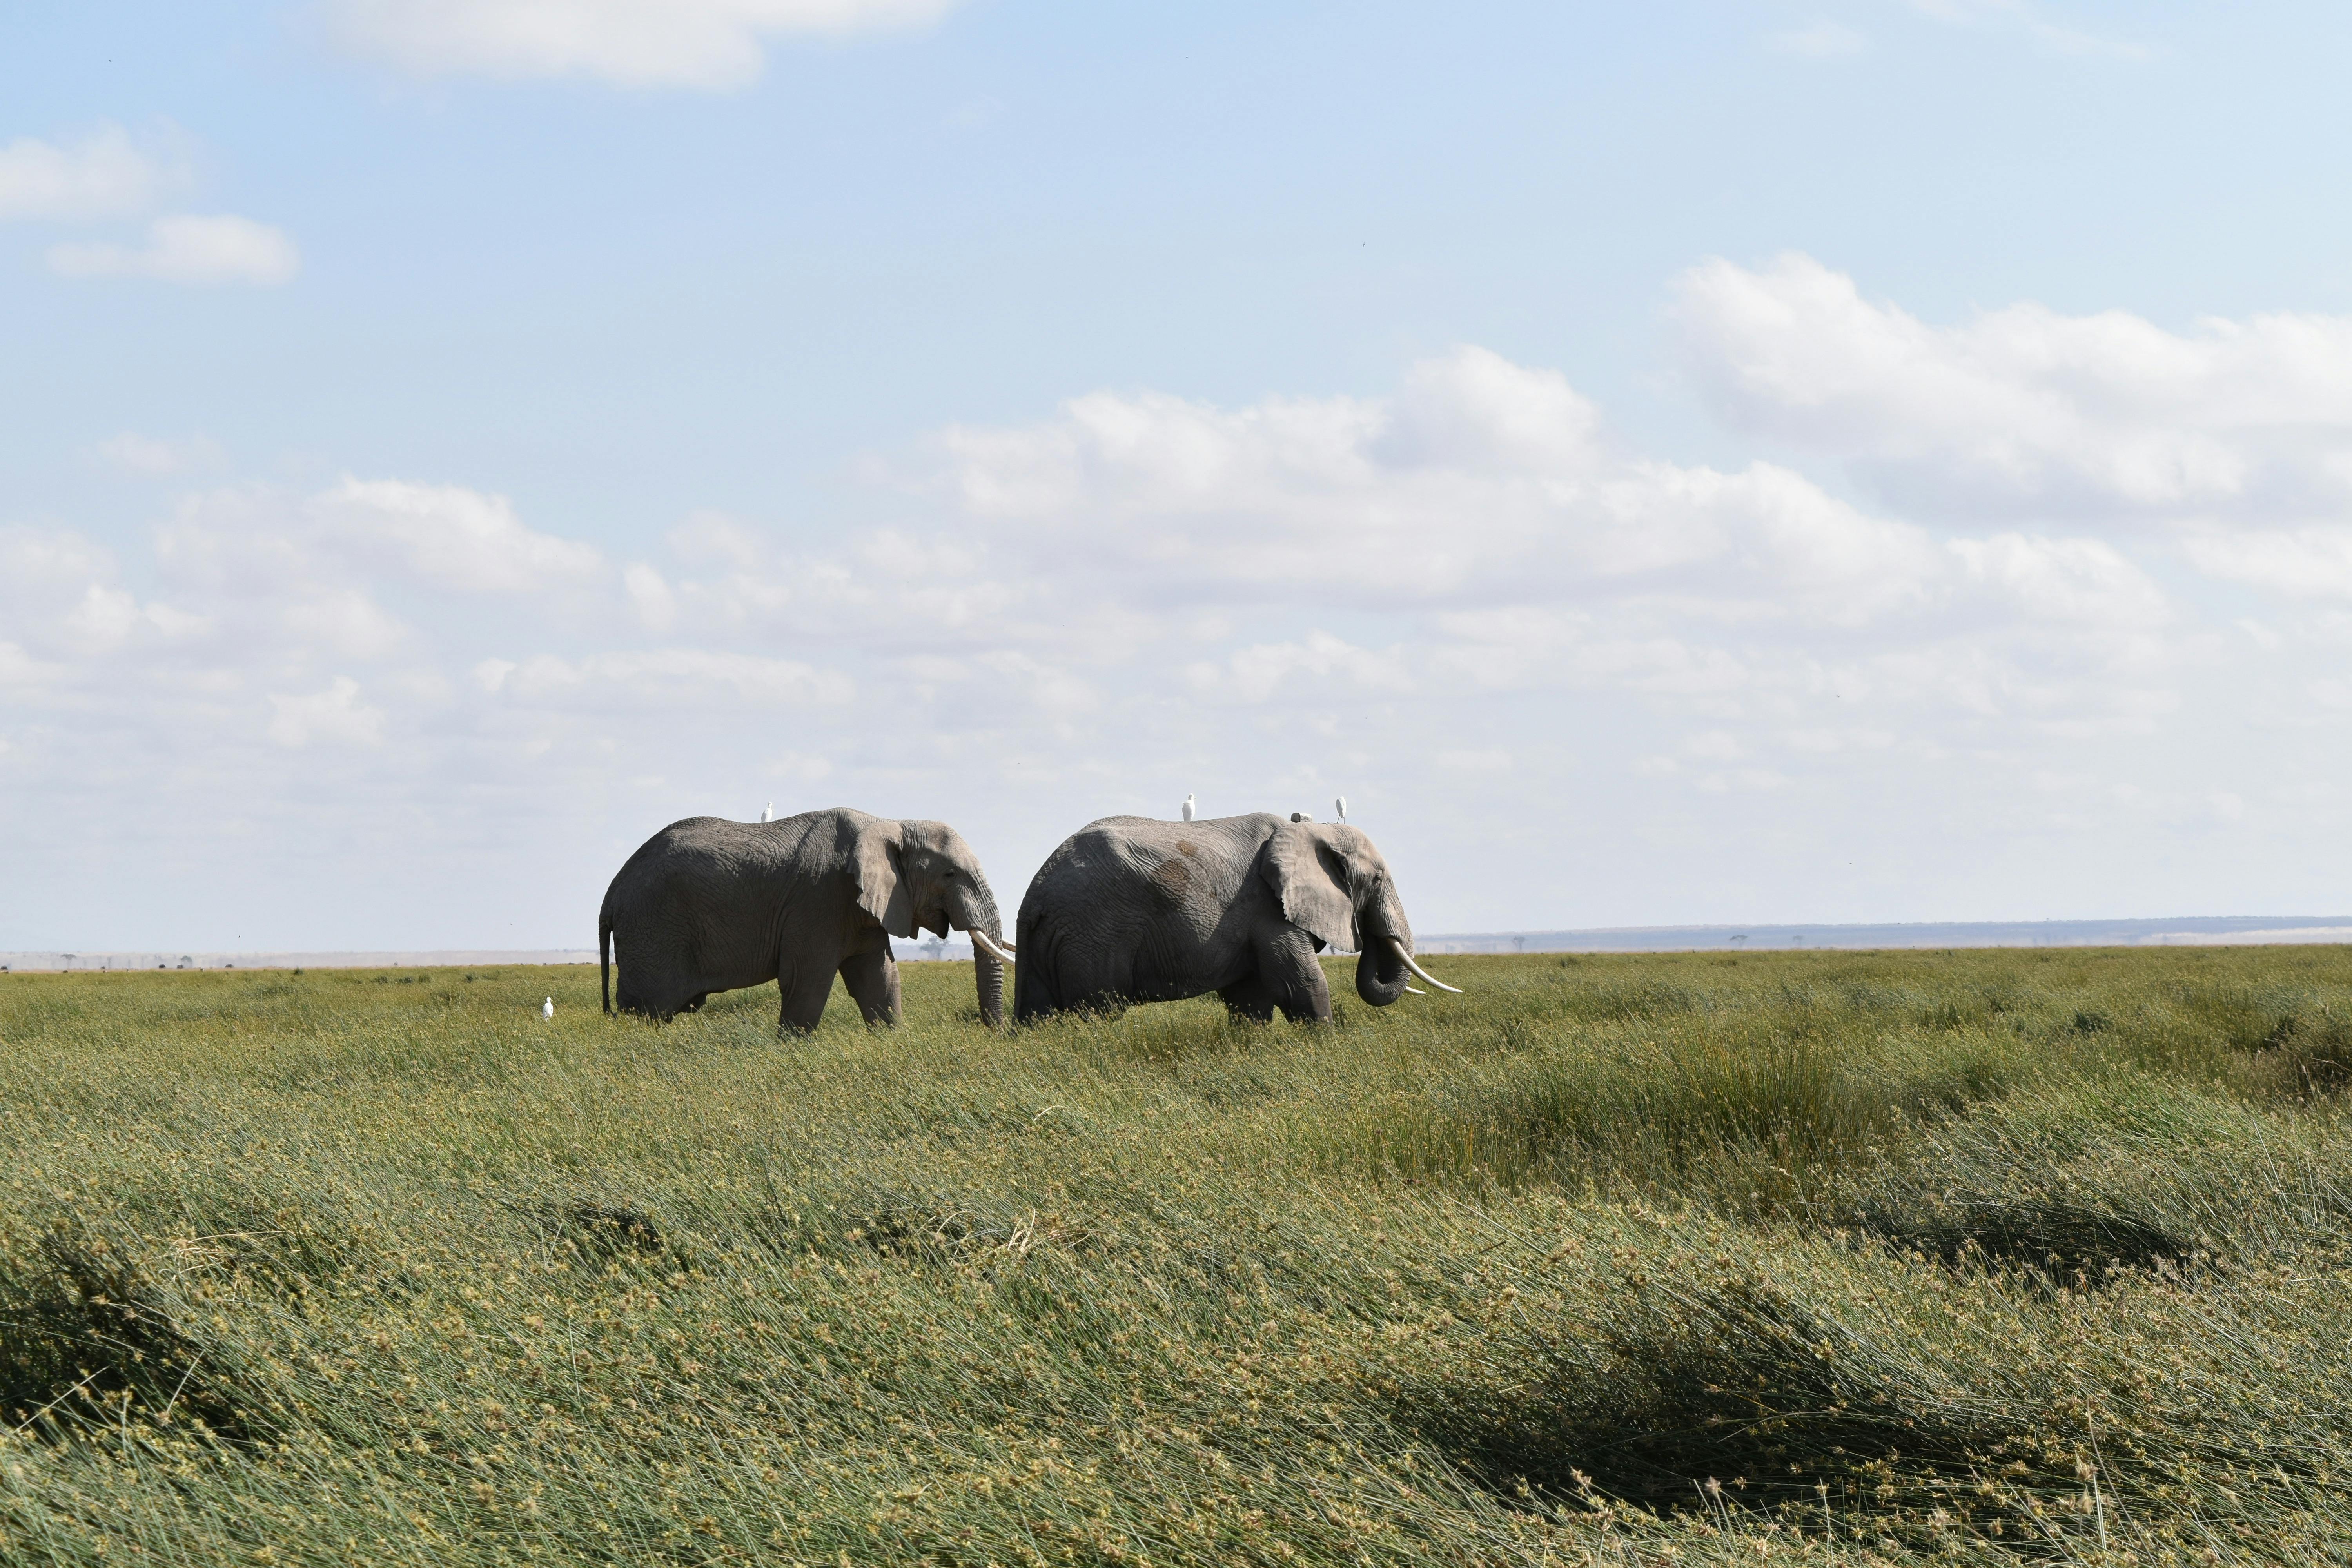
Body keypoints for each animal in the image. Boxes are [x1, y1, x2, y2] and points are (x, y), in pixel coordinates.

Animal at [599, 807, 1015, 1031]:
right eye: (950, 874)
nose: (995, 1032)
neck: (889, 823)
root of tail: (613, 889)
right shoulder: (820, 899)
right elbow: (808, 979)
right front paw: (790, 1046)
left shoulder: (863, 909)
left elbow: (880, 979)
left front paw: (894, 1037)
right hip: (652, 927)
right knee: (647, 1007)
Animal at [1012, 811, 1458, 1024]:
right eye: (1378, 878)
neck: (1313, 830)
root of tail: (1035, 895)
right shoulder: (1268, 909)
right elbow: (1302, 985)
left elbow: (1251, 998)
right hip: (1094, 935)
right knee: (1099, 1010)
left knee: (1039, 1016)